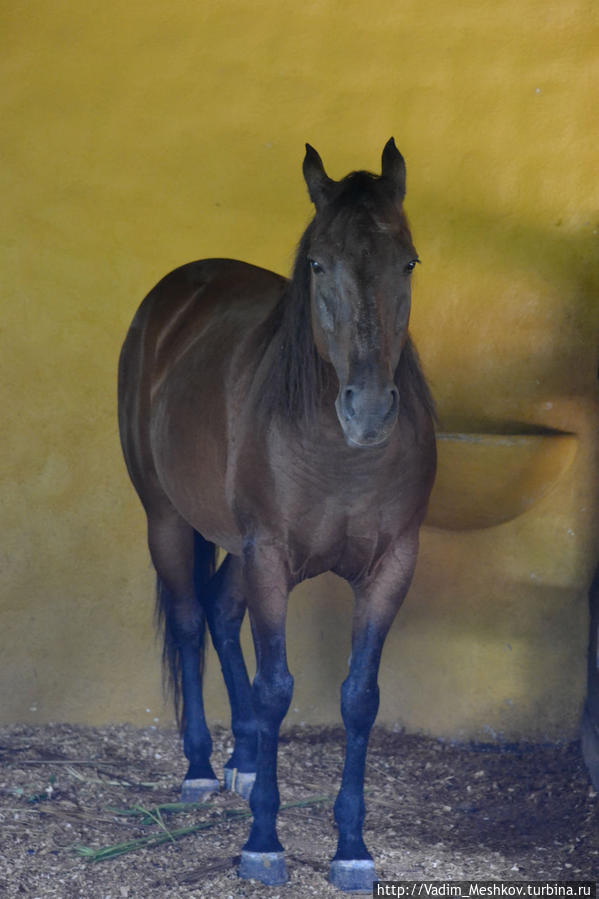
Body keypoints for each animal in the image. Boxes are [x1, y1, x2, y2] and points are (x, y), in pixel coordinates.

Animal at [118, 141, 436, 892]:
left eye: (407, 262)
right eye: (318, 264)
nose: (368, 409)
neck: (339, 452)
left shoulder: (392, 565)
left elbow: (358, 696)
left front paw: (351, 847)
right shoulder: (269, 556)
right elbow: (275, 688)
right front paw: (263, 841)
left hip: (237, 548)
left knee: (219, 609)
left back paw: (239, 759)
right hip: (166, 520)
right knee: (188, 618)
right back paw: (202, 768)